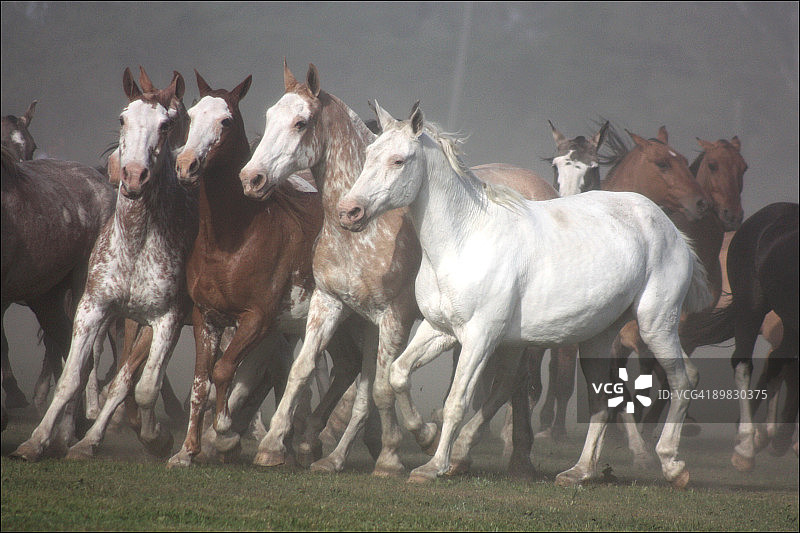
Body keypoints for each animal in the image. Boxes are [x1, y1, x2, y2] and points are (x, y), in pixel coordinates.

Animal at [11, 67, 197, 461]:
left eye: (166, 124)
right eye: (123, 118)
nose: (134, 175)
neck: (136, 244)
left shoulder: (167, 319)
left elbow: (145, 387)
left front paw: (157, 437)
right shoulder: (93, 307)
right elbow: (72, 378)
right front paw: (36, 441)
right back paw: (86, 439)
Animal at [239, 61, 558, 476]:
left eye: (301, 122)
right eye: (269, 117)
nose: (252, 178)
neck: (367, 233)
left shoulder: (395, 317)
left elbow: (380, 388)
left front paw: (394, 454)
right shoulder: (332, 304)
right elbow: (306, 371)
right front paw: (277, 446)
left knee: (509, 385)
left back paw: (494, 456)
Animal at [338, 101, 712, 487]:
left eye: (399, 160)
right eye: (369, 153)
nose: (349, 212)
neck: (465, 238)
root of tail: (671, 229)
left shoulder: (480, 337)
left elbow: (458, 401)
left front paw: (433, 465)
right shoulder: (440, 330)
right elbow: (398, 374)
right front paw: (425, 436)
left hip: (656, 325)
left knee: (683, 379)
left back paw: (672, 464)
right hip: (598, 337)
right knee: (602, 401)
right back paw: (579, 472)